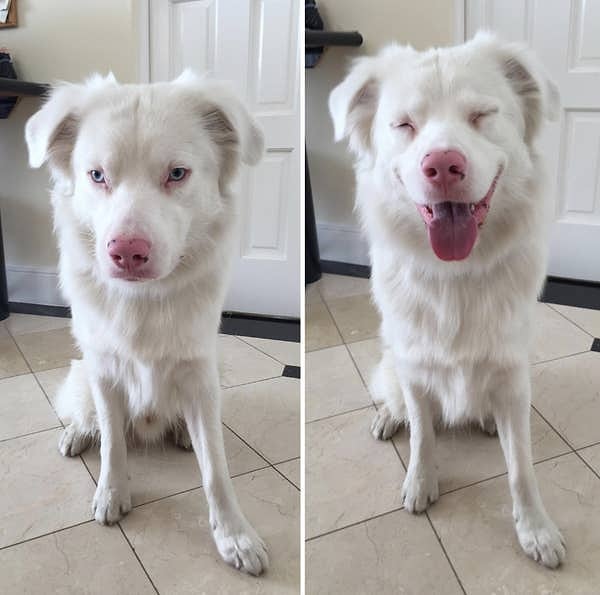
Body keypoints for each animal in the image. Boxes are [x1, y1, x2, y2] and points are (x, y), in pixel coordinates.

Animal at [25, 71, 268, 576]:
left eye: (176, 174)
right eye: (97, 175)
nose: (127, 253)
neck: (144, 300)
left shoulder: (200, 375)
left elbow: (216, 470)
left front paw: (234, 535)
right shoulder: (103, 370)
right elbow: (113, 445)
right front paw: (112, 494)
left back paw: (179, 434)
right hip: (81, 375)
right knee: (90, 420)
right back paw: (77, 434)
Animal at [330, 33, 564, 572]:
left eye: (481, 115)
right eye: (404, 125)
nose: (441, 166)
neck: (455, 275)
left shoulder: (513, 378)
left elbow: (521, 467)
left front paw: (535, 529)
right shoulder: (416, 368)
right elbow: (422, 435)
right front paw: (421, 482)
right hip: (391, 364)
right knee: (395, 401)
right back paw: (387, 417)